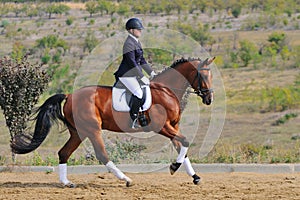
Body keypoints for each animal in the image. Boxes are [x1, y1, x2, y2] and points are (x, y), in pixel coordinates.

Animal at [10, 56, 214, 188]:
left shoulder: (173, 126)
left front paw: (194, 177)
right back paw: (126, 179)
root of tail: (69, 96)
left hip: (78, 132)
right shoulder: (162, 127)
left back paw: (66, 182)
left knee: (64, 153)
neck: (165, 91)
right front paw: (173, 167)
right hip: (93, 130)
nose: (209, 99)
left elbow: (182, 149)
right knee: (102, 154)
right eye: (203, 76)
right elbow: (185, 142)